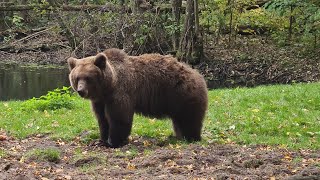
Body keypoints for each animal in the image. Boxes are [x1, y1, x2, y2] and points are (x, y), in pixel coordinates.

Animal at [67, 48, 208, 148]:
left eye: (88, 78)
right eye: (77, 78)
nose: (81, 91)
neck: (109, 86)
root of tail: (197, 74)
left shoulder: (120, 93)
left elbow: (119, 118)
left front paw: (113, 142)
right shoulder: (100, 101)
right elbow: (102, 119)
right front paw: (101, 140)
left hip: (182, 93)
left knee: (189, 118)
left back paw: (191, 137)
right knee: (179, 119)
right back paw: (179, 136)